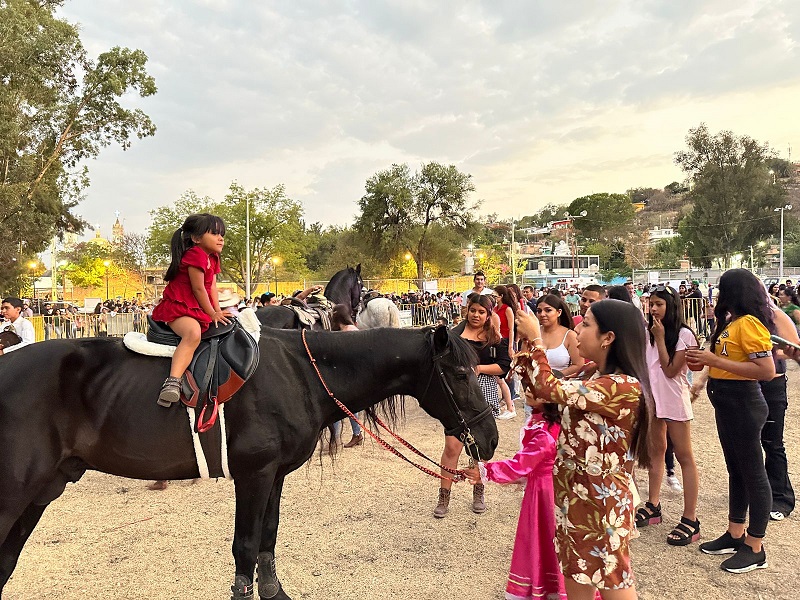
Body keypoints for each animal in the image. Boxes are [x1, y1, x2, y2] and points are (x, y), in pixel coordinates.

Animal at [0, 324, 496, 596]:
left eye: (477, 369)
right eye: (459, 373)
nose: (489, 439)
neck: (301, 372)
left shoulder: (273, 476)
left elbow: (265, 546)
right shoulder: (253, 476)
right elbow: (244, 551)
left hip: (41, 492)